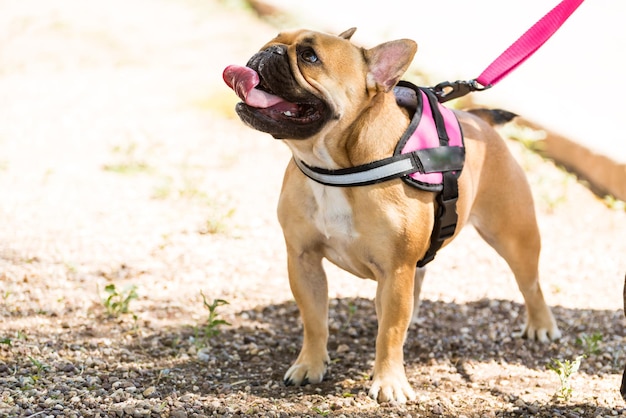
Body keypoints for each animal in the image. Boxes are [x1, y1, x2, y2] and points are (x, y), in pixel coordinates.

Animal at [222, 27, 560, 404]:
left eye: (310, 56)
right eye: (275, 38)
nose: (270, 51)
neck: (337, 167)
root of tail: (478, 121)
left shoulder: (395, 270)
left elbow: (390, 331)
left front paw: (388, 382)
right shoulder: (303, 259)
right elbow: (314, 319)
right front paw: (310, 364)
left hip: (514, 236)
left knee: (530, 283)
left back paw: (541, 325)